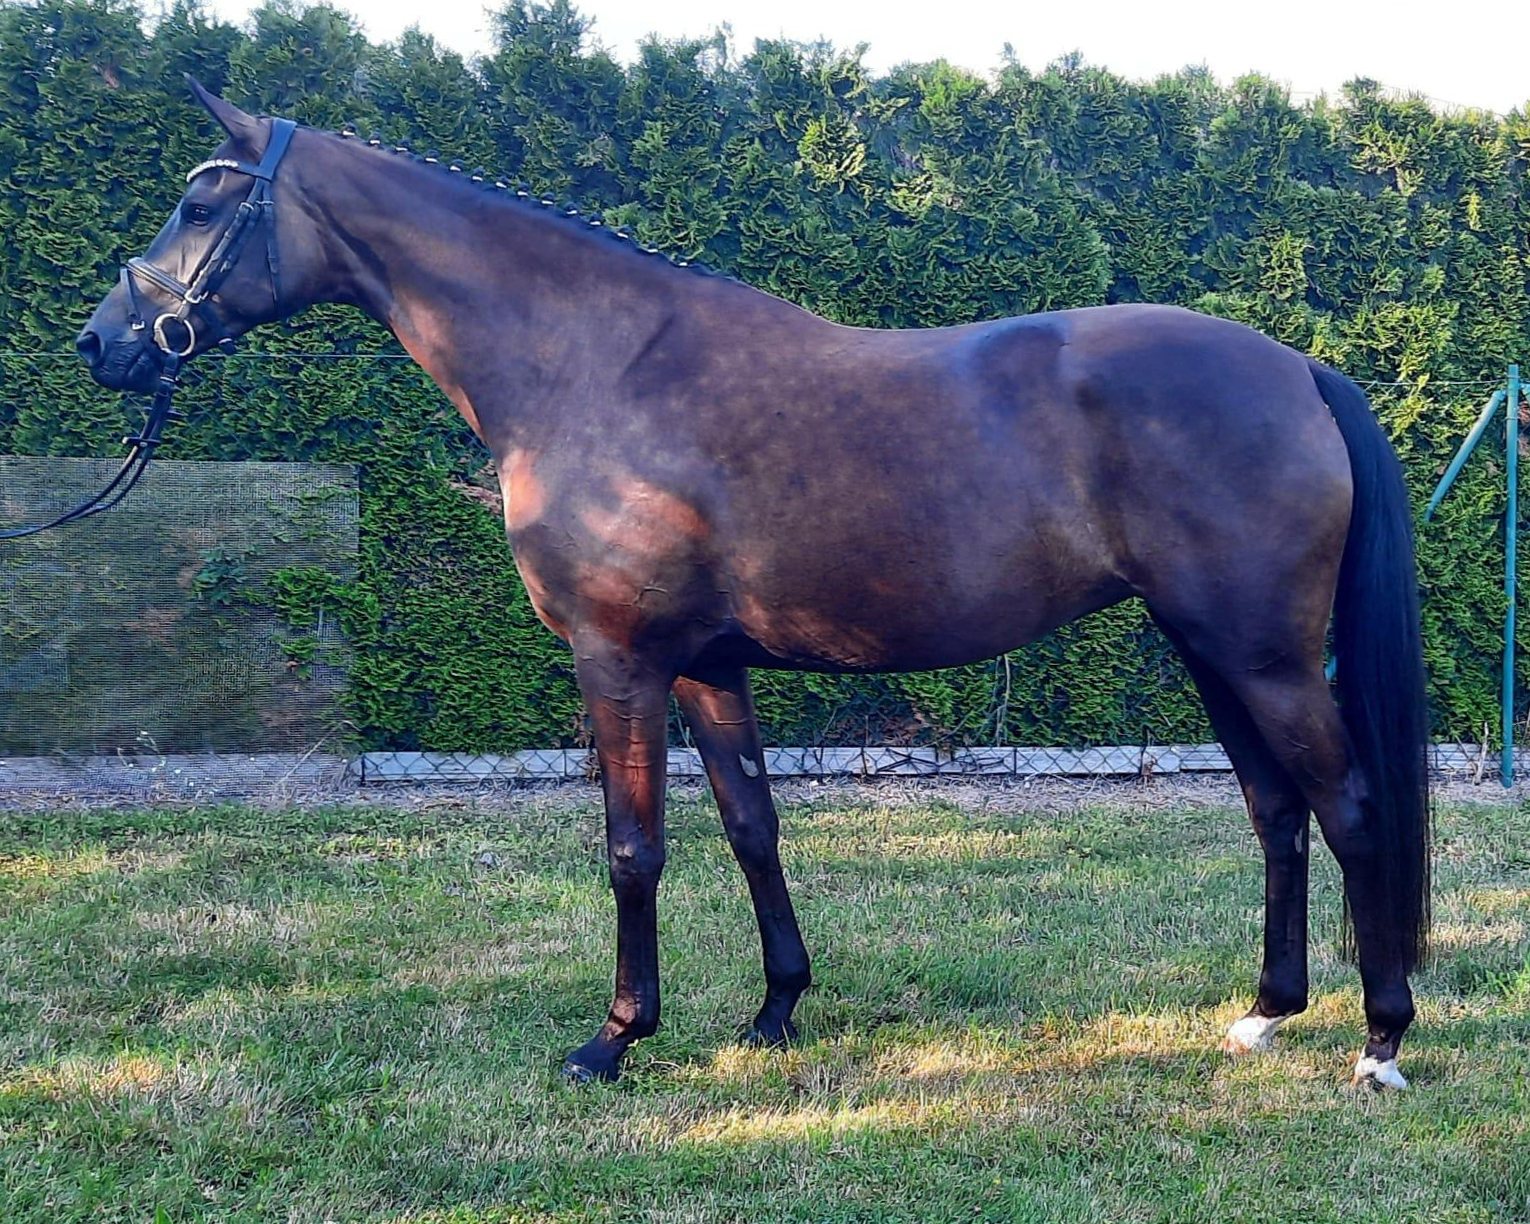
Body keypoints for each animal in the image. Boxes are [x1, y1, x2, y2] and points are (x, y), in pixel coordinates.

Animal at [76, 81, 1430, 1089]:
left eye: (199, 201)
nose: (103, 344)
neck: (598, 366)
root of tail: (1297, 367)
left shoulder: (618, 658)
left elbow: (634, 849)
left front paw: (614, 1040)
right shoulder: (708, 668)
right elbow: (750, 829)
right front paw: (776, 1011)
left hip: (1259, 654)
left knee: (1351, 807)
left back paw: (1379, 1038)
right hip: (1210, 650)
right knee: (1275, 812)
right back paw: (1267, 1012)